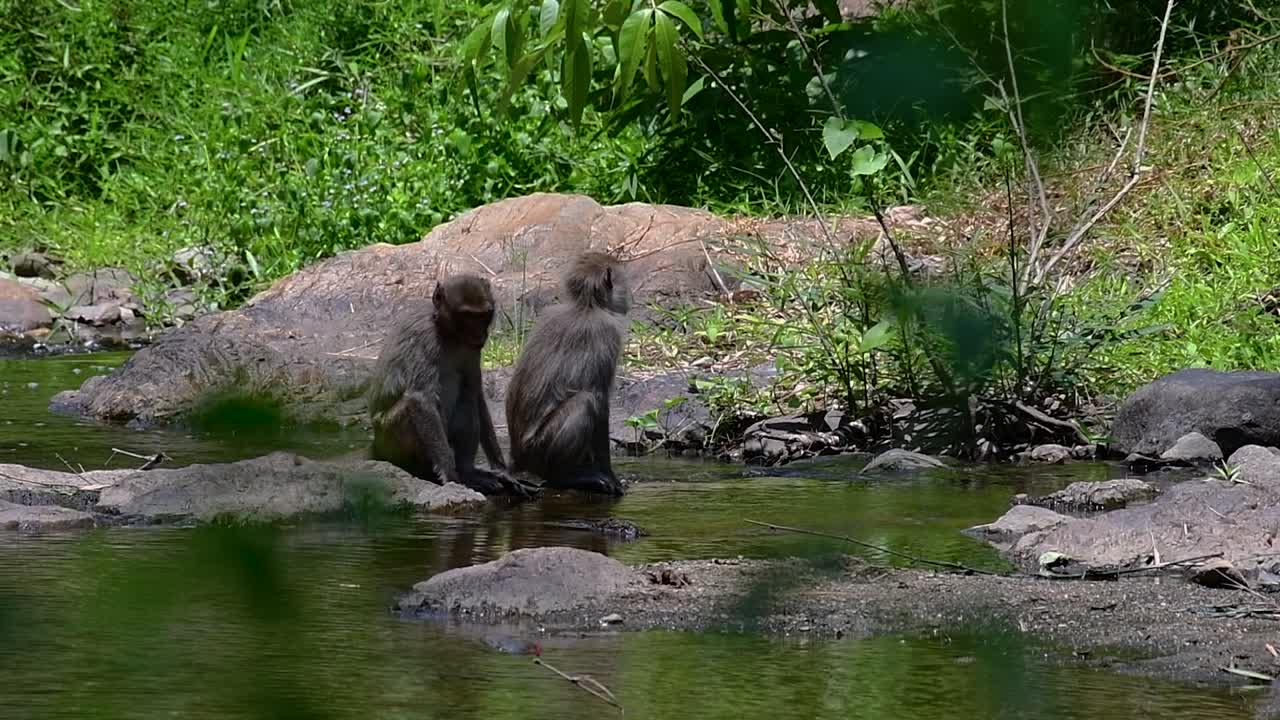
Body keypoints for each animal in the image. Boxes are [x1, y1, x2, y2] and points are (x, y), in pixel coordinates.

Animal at [368, 274, 534, 498]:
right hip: (389, 438)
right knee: (415, 409)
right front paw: (450, 474)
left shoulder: (472, 349)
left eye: (483, 315)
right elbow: (420, 399)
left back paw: (468, 472)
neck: (449, 334)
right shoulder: (425, 337)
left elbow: (476, 392)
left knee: (467, 397)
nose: (479, 333)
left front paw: (502, 471)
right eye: (467, 316)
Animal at [505, 252, 631, 497]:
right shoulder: (606, 333)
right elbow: (599, 399)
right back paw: (564, 477)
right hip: (539, 450)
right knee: (585, 402)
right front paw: (611, 476)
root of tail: (518, 458)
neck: (587, 305)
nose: (630, 297)